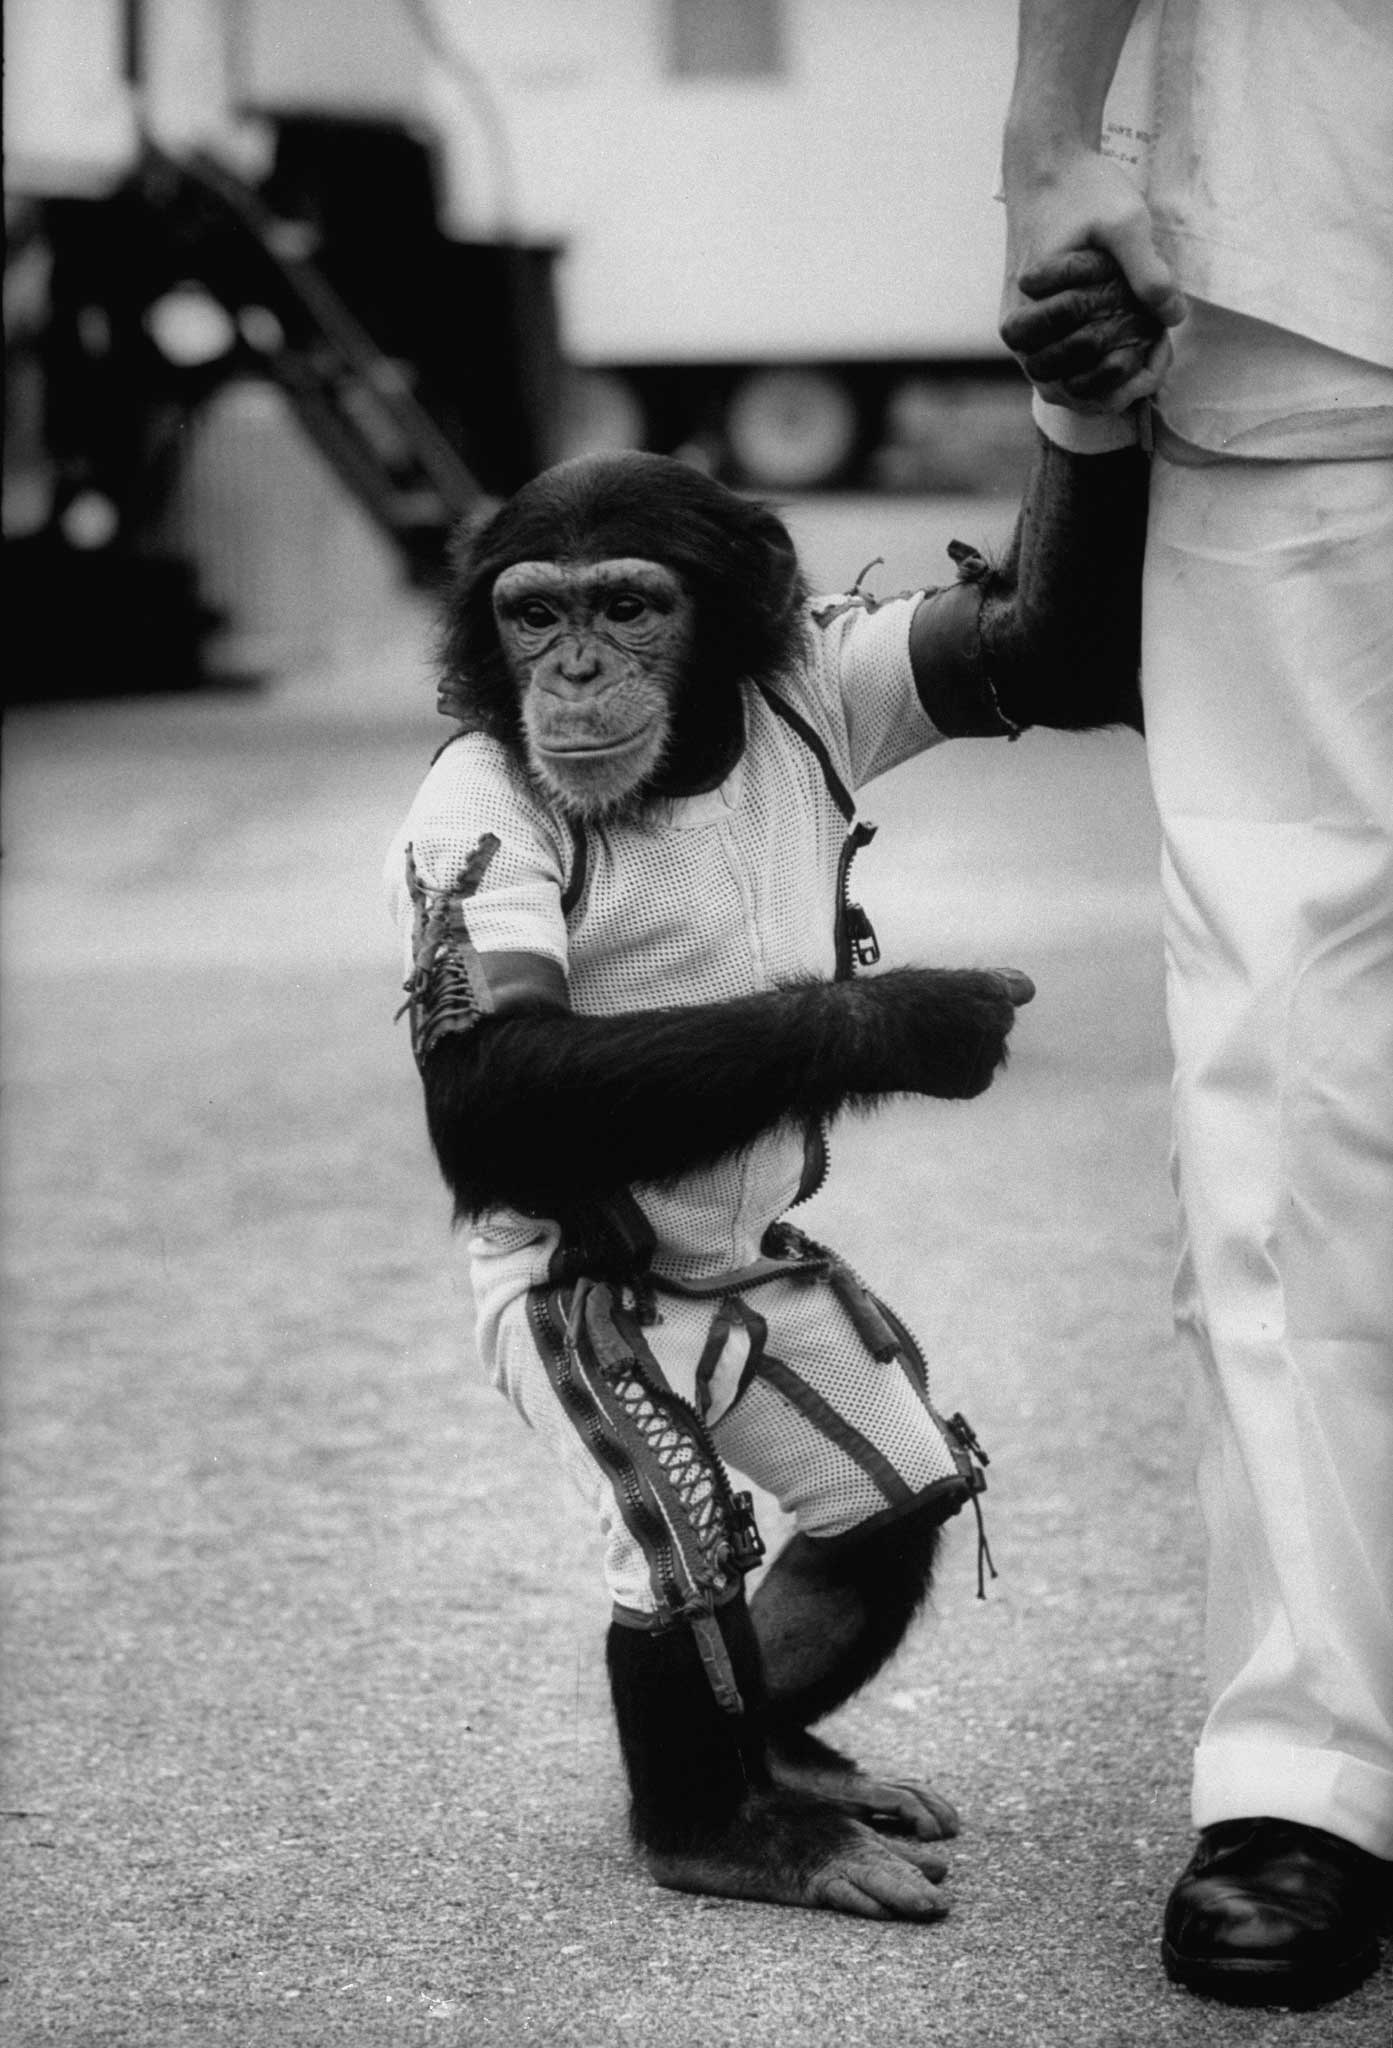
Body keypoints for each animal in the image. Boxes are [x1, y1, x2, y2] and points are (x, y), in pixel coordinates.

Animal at [386, 273, 1156, 1922]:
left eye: (628, 605)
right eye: (529, 612)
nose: (571, 672)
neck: (677, 766)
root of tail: (702, 1295)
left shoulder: (832, 673)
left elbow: (1032, 646)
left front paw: (1082, 340)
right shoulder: (459, 823)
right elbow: (488, 1084)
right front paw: (913, 1018)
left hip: (793, 1311)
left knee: (893, 1499)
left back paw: (787, 1762)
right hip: (578, 1333)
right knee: (678, 1565)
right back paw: (720, 1830)